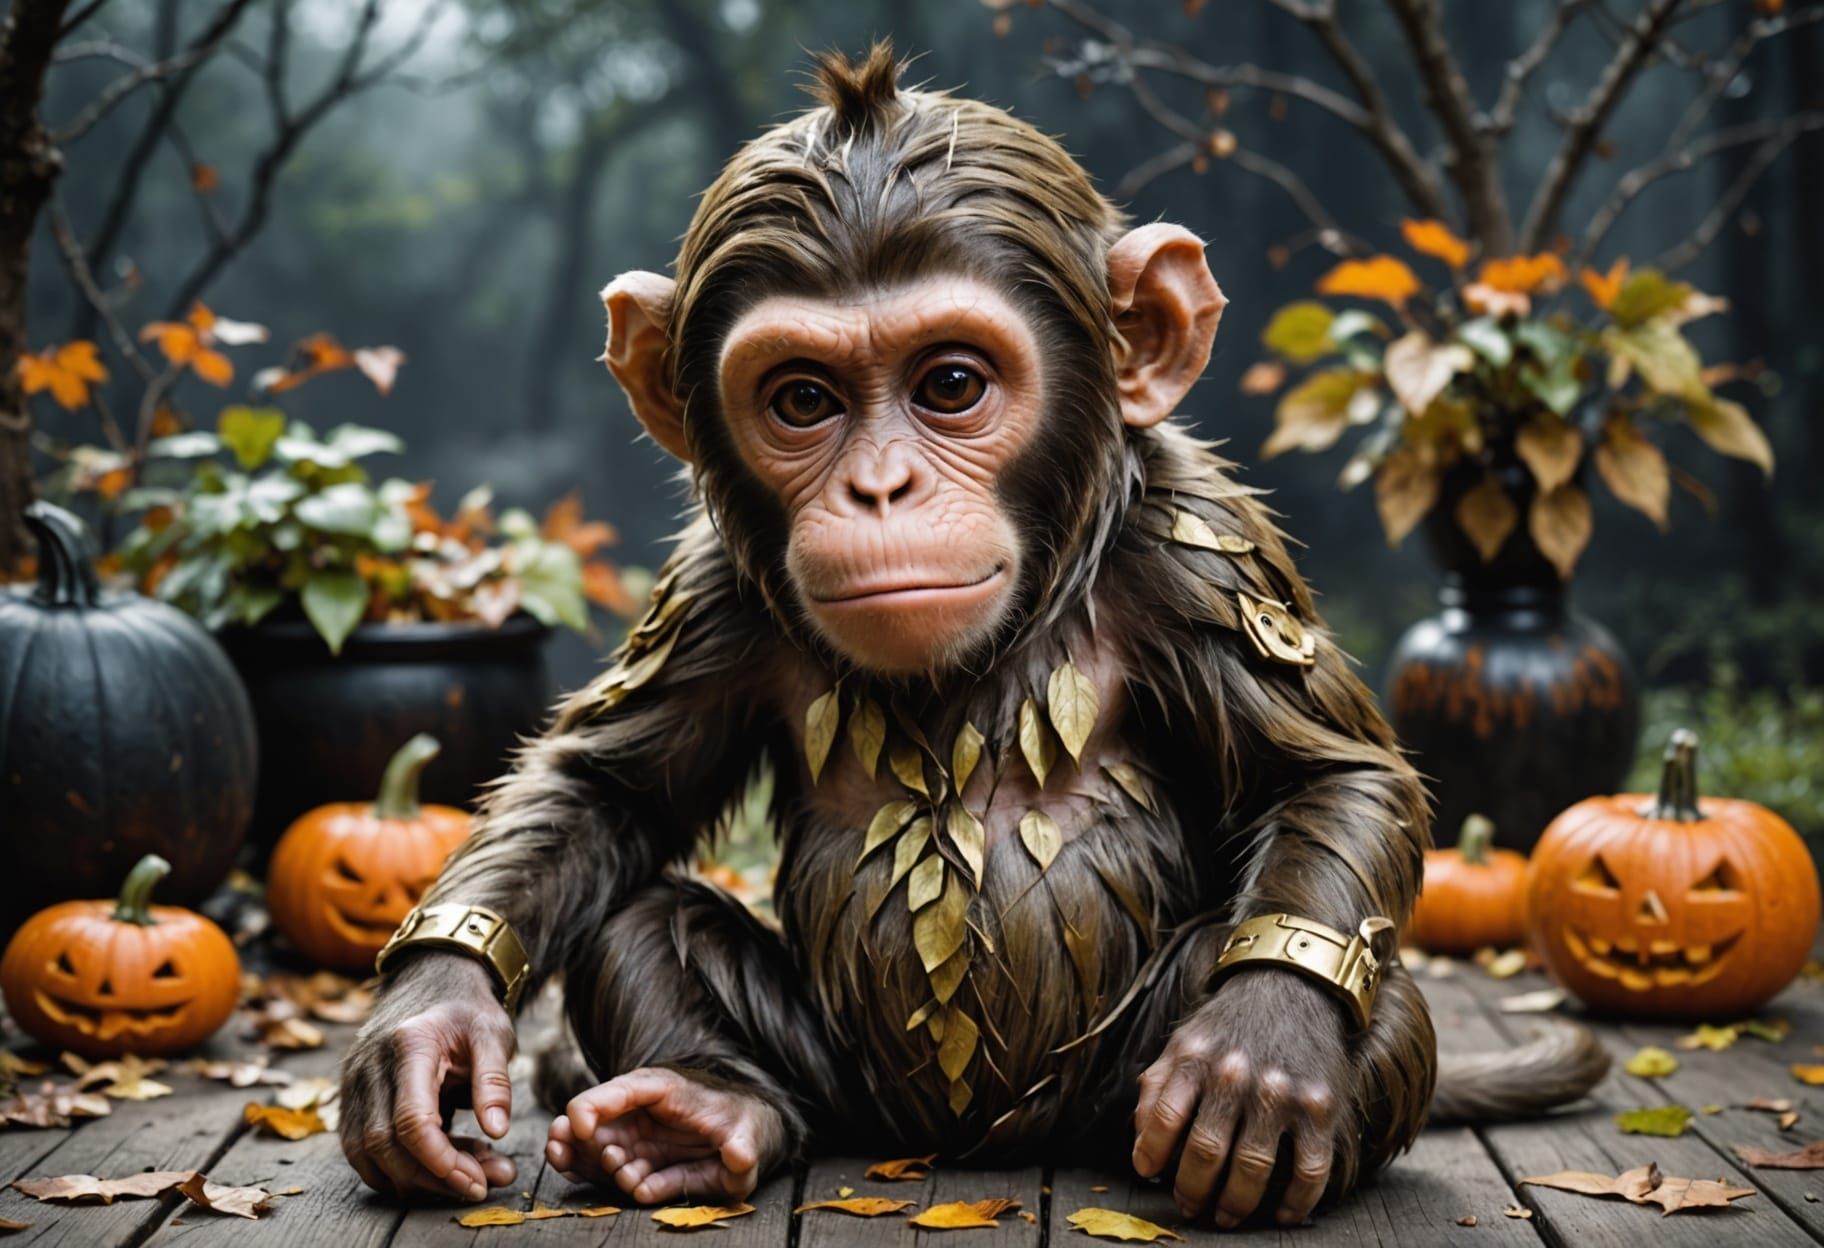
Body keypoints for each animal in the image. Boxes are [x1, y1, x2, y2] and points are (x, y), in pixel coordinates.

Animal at [339, 43, 1607, 1228]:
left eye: (950, 384)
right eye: (803, 401)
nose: (881, 489)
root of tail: (958, 1145)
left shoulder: (1200, 550)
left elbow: (1329, 775)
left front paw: (1263, 1044)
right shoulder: (713, 593)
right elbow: (603, 788)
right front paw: (433, 1016)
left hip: (1098, 1089)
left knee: (1383, 1008)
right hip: (844, 1083)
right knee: (644, 920)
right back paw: (705, 1111)